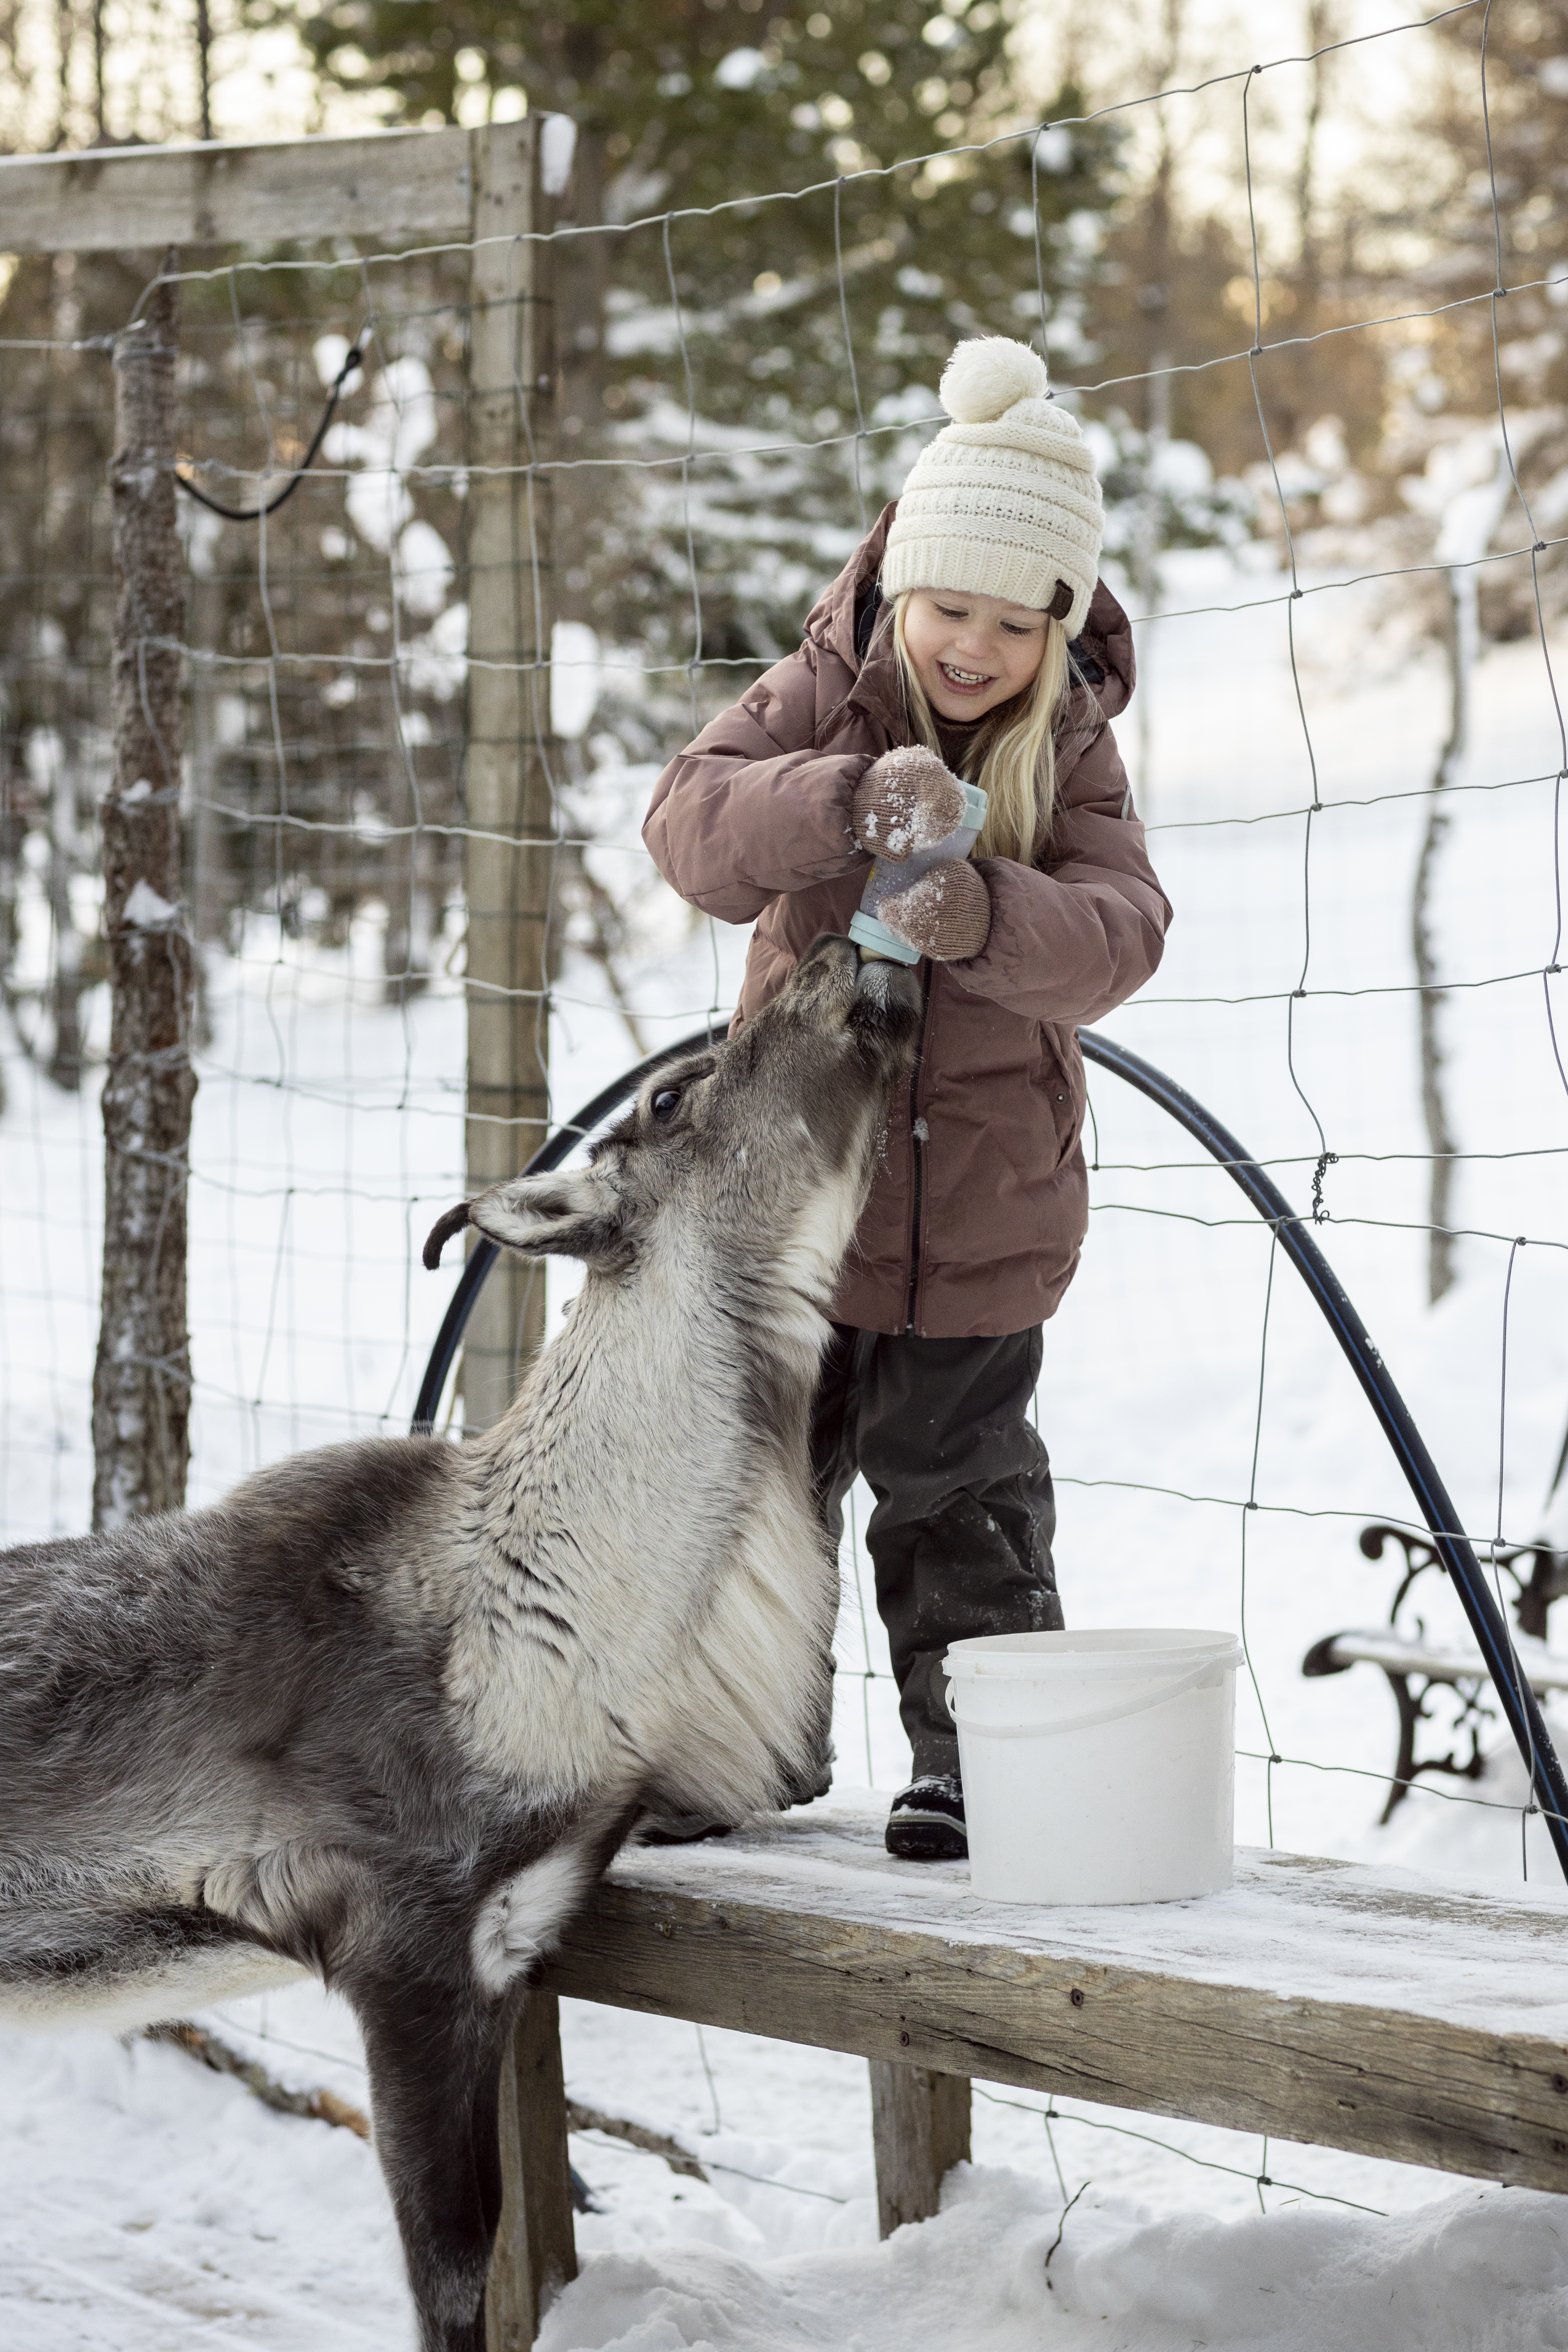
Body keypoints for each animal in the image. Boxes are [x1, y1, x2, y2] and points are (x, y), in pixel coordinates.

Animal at [0, 936, 920, 2352]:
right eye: (670, 1095)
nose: (836, 950)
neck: (562, 1620)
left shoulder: (505, 1957)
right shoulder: (406, 1950)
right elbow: (451, 2280)